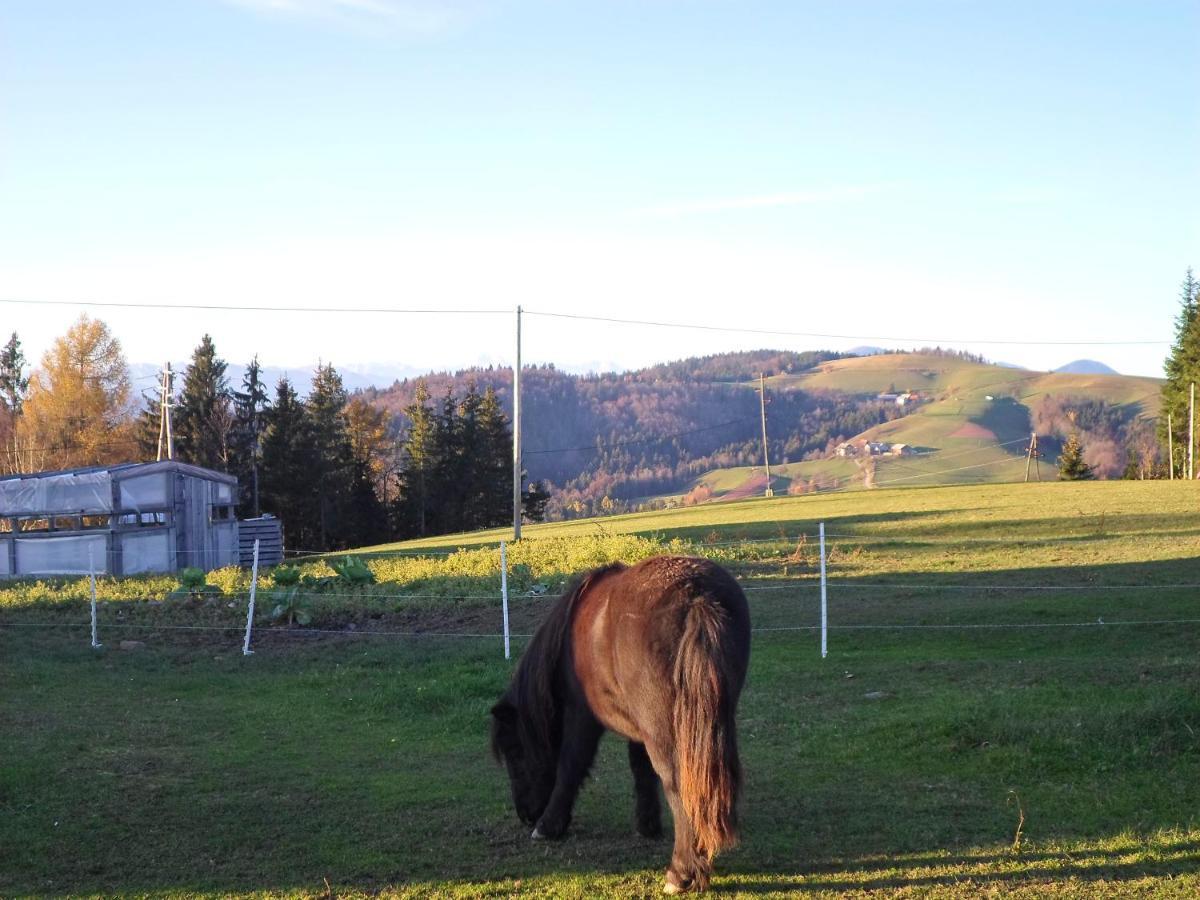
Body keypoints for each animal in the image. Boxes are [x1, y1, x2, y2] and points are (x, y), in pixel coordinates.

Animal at [489, 556, 748, 897]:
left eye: (515, 752)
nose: (526, 815)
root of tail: (696, 596)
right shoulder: (642, 728)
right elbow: (641, 770)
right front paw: (647, 825)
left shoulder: (581, 717)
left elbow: (571, 766)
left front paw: (548, 826)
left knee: (678, 783)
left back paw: (681, 873)